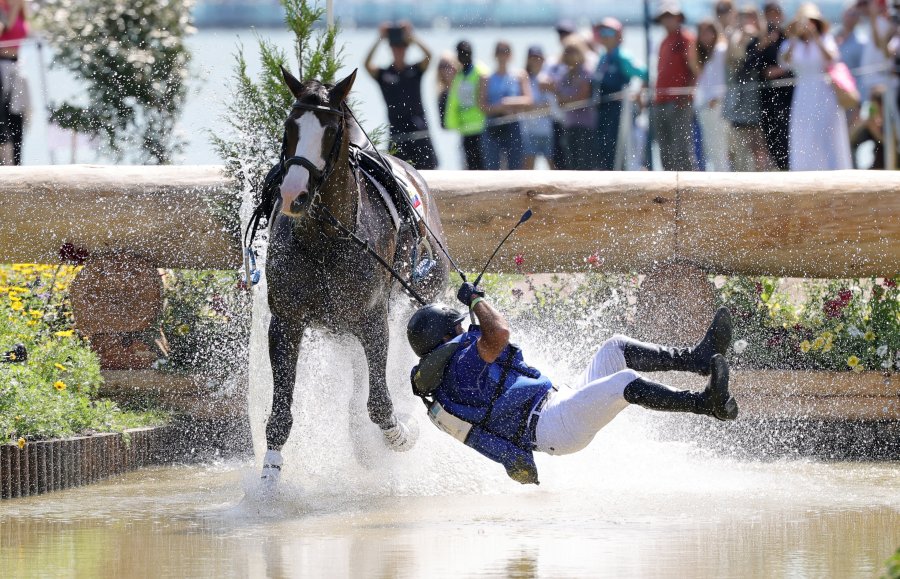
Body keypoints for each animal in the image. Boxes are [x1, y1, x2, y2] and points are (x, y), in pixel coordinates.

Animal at [258, 67, 450, 484]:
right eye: (290, 126)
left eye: (332, 130)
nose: (293, 193)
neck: (325, 241)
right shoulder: (285, 324)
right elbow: (279, 416)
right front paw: (267, 483)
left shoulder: (373, 321)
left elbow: (379, 403)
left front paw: (402, 435)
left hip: (415, 297)